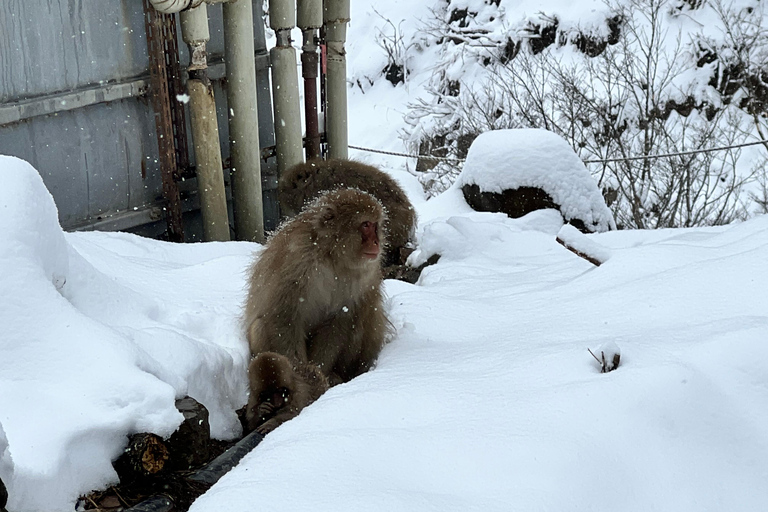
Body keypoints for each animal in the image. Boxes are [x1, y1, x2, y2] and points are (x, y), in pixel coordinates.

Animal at [243, 188, 392, 432]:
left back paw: (338, 375)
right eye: (366, 225)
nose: (376, 241)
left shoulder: (361, 275)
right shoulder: (295, 259)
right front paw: (303, 377)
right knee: (260, 325)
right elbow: (284, 316)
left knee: (361, 319)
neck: (331, 255)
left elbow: (339, 321)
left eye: (376, 225)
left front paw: (319, 377)